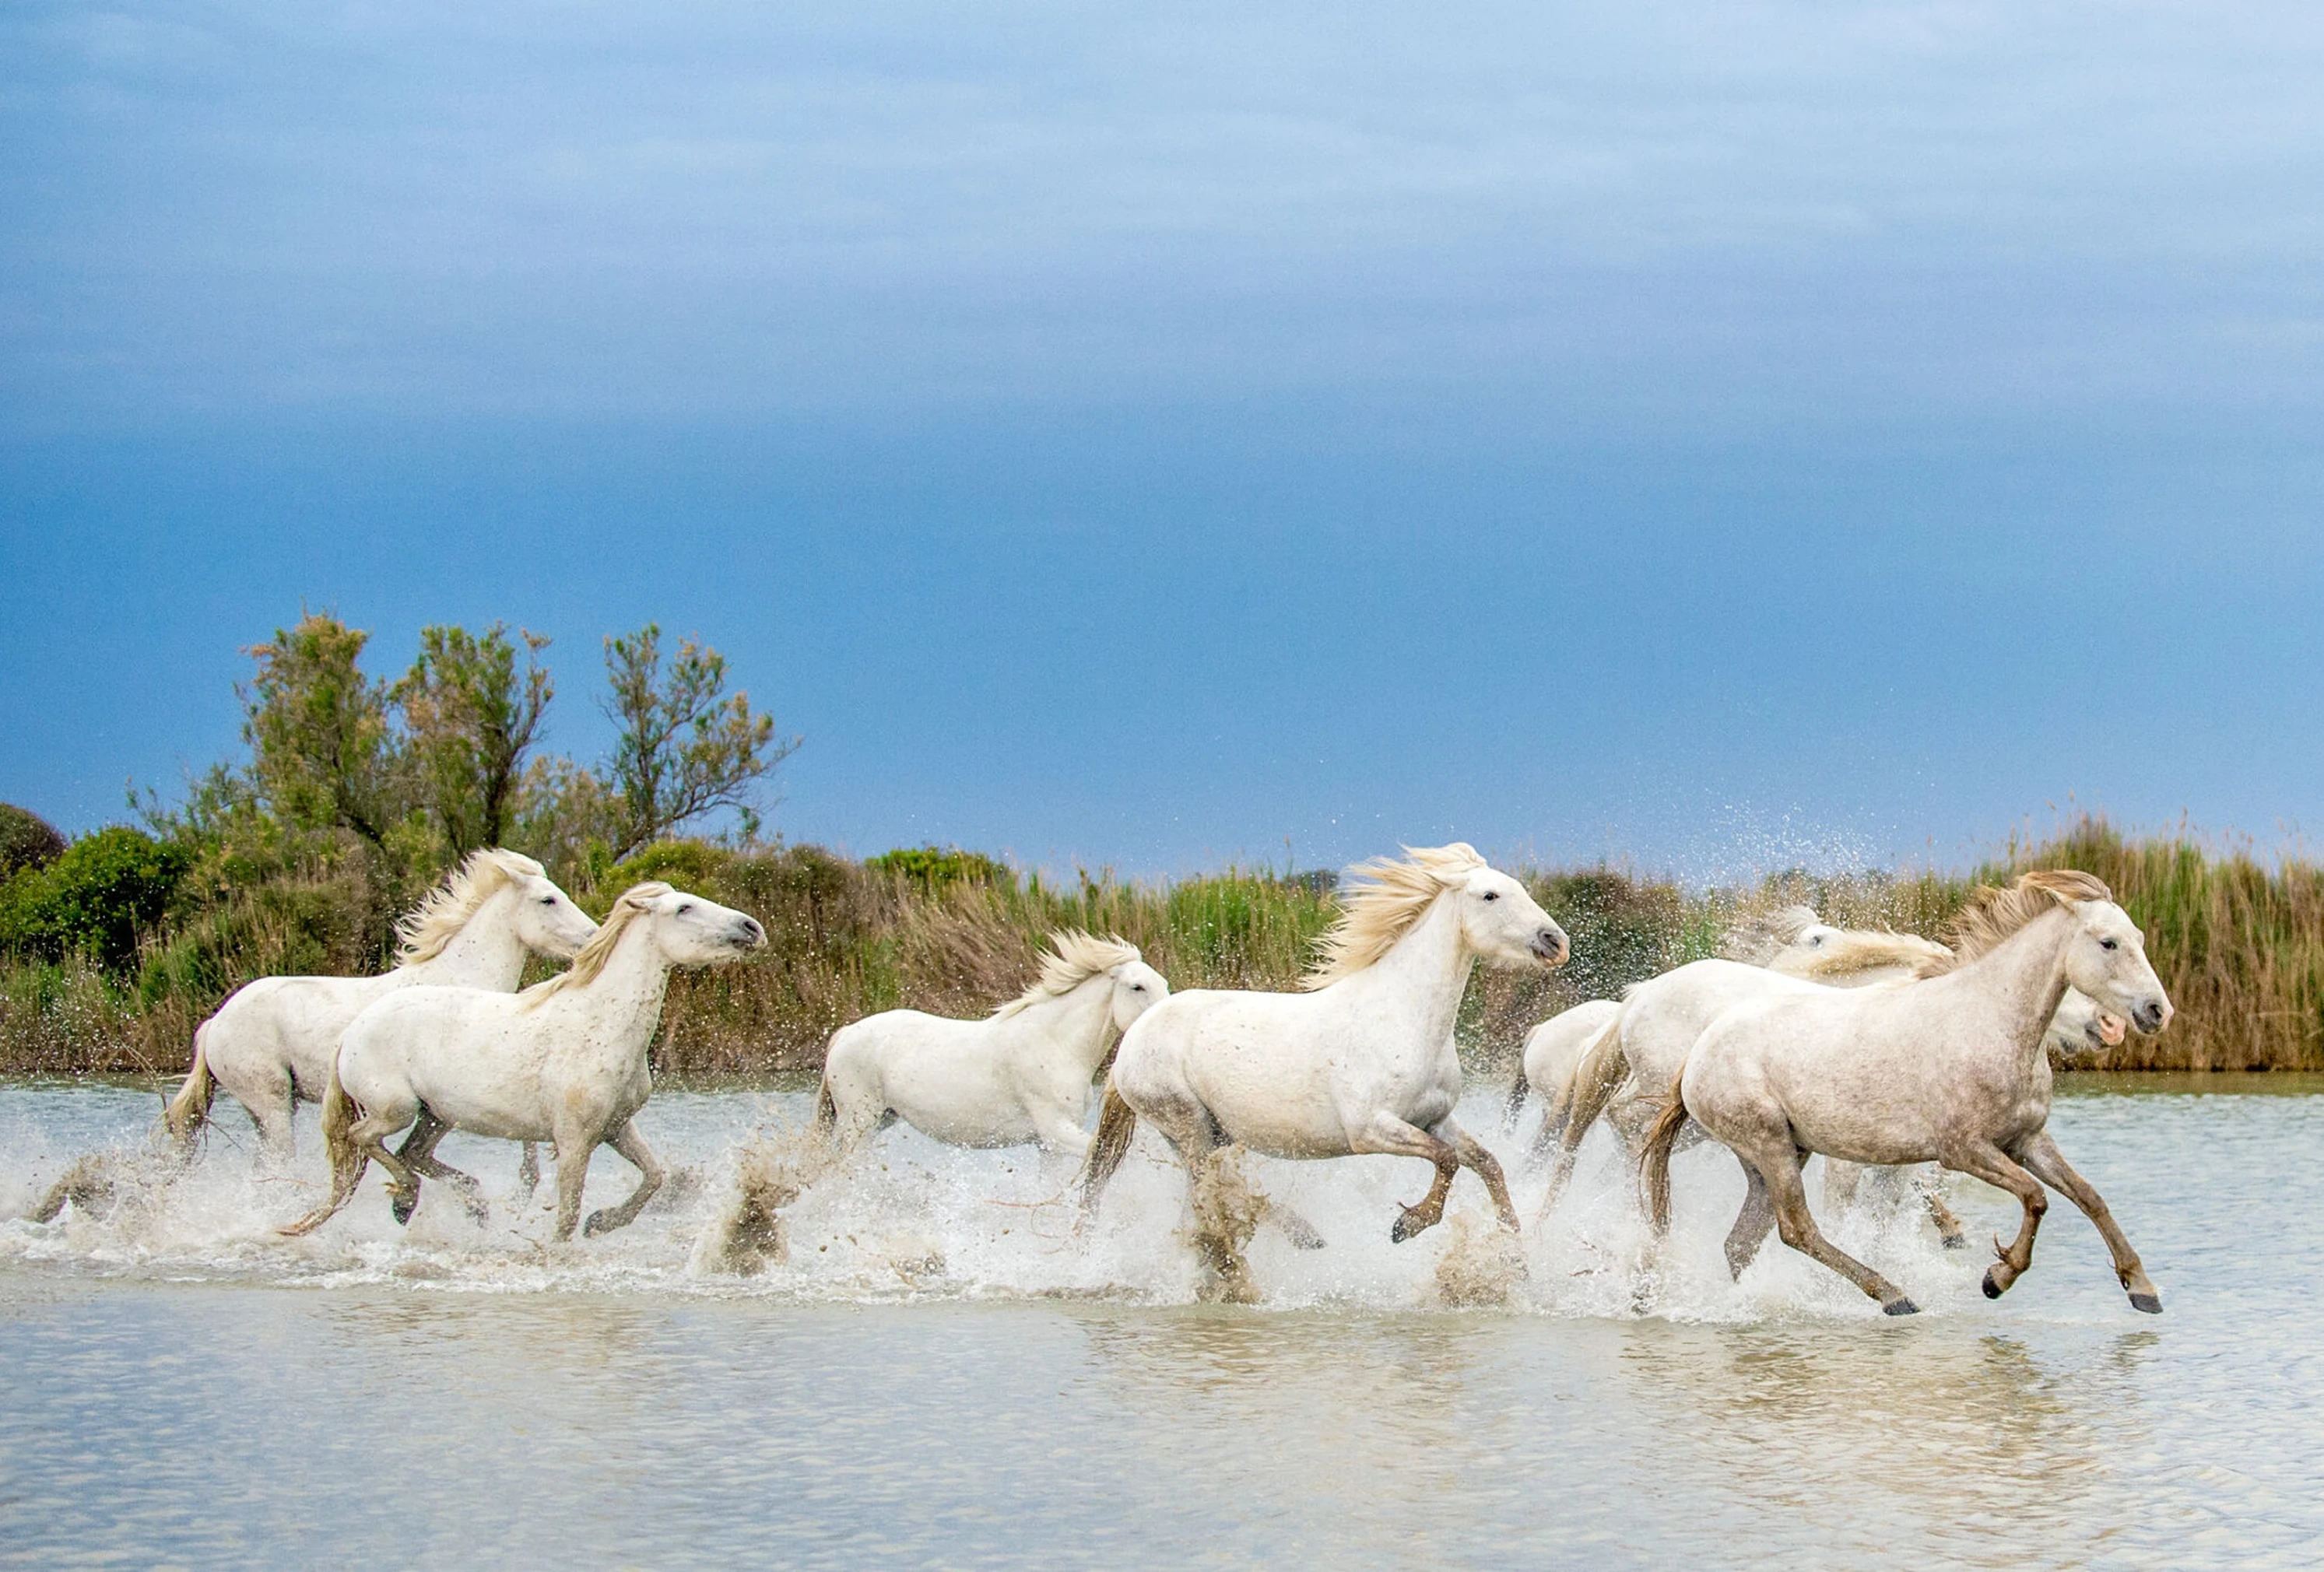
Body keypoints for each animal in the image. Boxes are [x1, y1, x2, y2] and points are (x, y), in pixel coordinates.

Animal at [160, 848, 597, 1174]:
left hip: (262, 1109)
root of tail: (215, 1023)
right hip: (273, 1102)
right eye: (548, 899)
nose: (594, 938)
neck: (459, 978)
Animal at [277, 883, 765, 1241]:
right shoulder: (574, 1142)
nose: (752, 927)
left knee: (412, 1152)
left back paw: (469, 1206)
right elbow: (566, 1215)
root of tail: (352, 1030)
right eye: (684, 908)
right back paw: (406, 1202)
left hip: (438, 1116)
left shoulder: (617, 1127)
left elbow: (654, 1177)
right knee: (364, 1138)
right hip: (395, 1108)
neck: (600, 1025)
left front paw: (603, 1222)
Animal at [816, 931, 1170, 1159]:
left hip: (882, 1118)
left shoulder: (1048, 1144)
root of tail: (845, 1034)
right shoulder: (1056, 1130)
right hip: (858, 1122)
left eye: (1163, 983)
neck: (1057, 1045)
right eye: (1137, 987)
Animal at [1078, 843, 1568, 1262]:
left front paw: (1515, 1249)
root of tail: (1136, 1033)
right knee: (1211, 1189)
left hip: (1211, 1134)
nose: (1556, 942)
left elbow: (1488, 1163)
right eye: (1490, 895)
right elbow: (1446, 1160)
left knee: (1205, 1197)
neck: (1404, 1016)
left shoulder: (1435, 1119)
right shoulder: (1370, 1129)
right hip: (1187, 1123)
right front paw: (1408, 1224)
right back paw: (1301, 1235)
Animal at [1643, 870, 2172, 1316]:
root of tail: (1698, 1054)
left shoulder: (2027, 1140)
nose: (2156, 1012)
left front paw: (2143, 1290)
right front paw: (1997, 1278)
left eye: (2141, 940)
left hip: (1778, 1154)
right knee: (1797, 1228)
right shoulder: (1963, 1150)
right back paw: (1893, 1296)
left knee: (1743, 1241)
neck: (1991, 1020)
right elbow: (2036, 1197)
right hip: (1769, 1144)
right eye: (2108, 943)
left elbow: (2089, 1197)